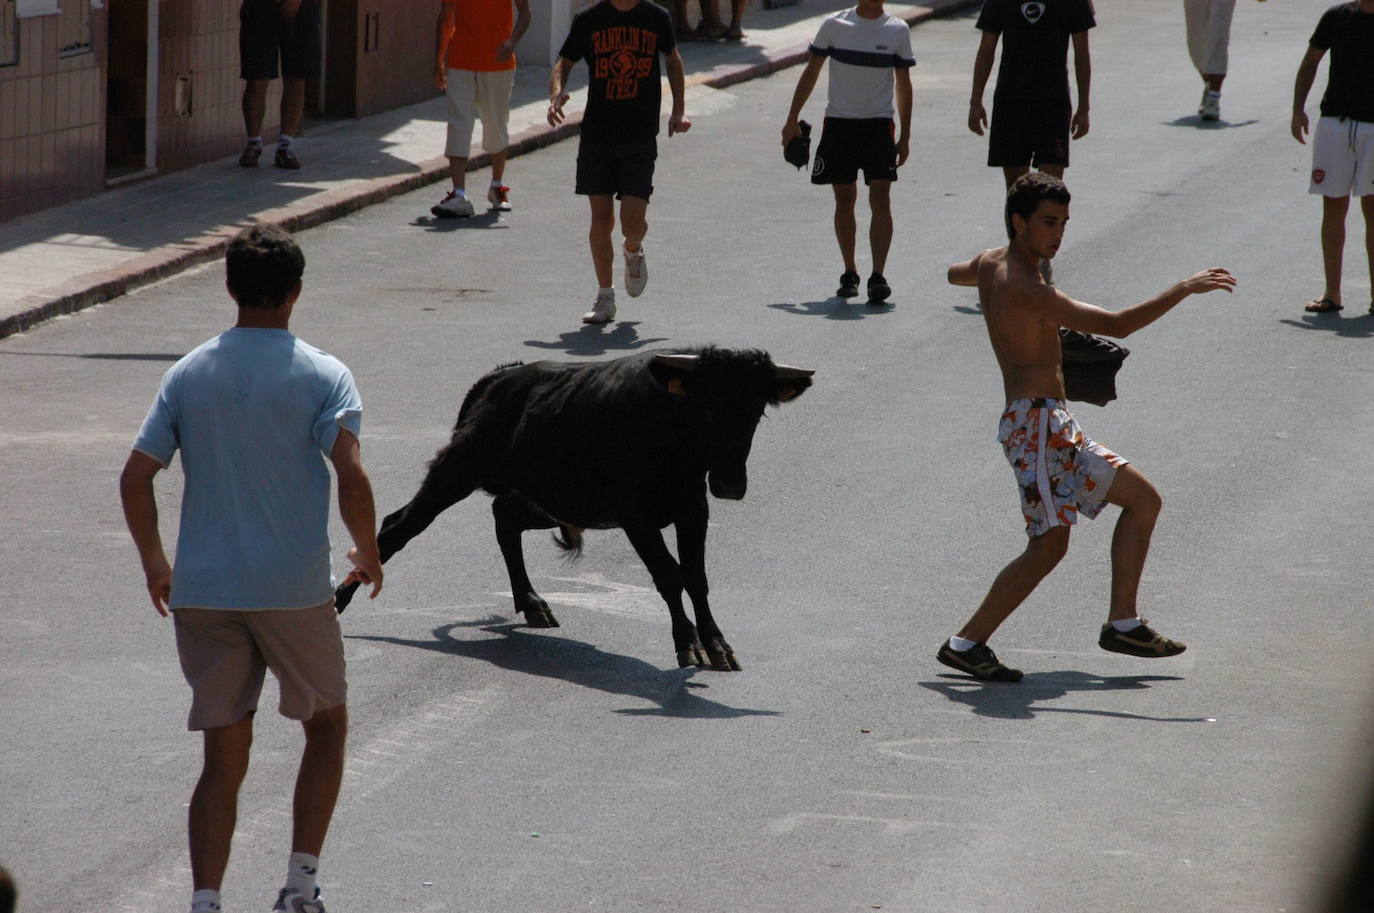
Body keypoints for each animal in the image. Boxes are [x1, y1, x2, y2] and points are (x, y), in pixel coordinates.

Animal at [336, 349, 807, 671]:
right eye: (706, 406)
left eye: (756, 411)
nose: (730, 484)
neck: (669, 430)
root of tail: (500, 378)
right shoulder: (638, 520)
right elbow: (670, 576)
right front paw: (687, 644)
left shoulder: (693, 511)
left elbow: (696, 578)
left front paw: (718, 646)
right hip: (457, 471)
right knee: (399, 526)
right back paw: (340, 600)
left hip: (552, 501)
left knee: (504, 517)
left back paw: (532, 603)